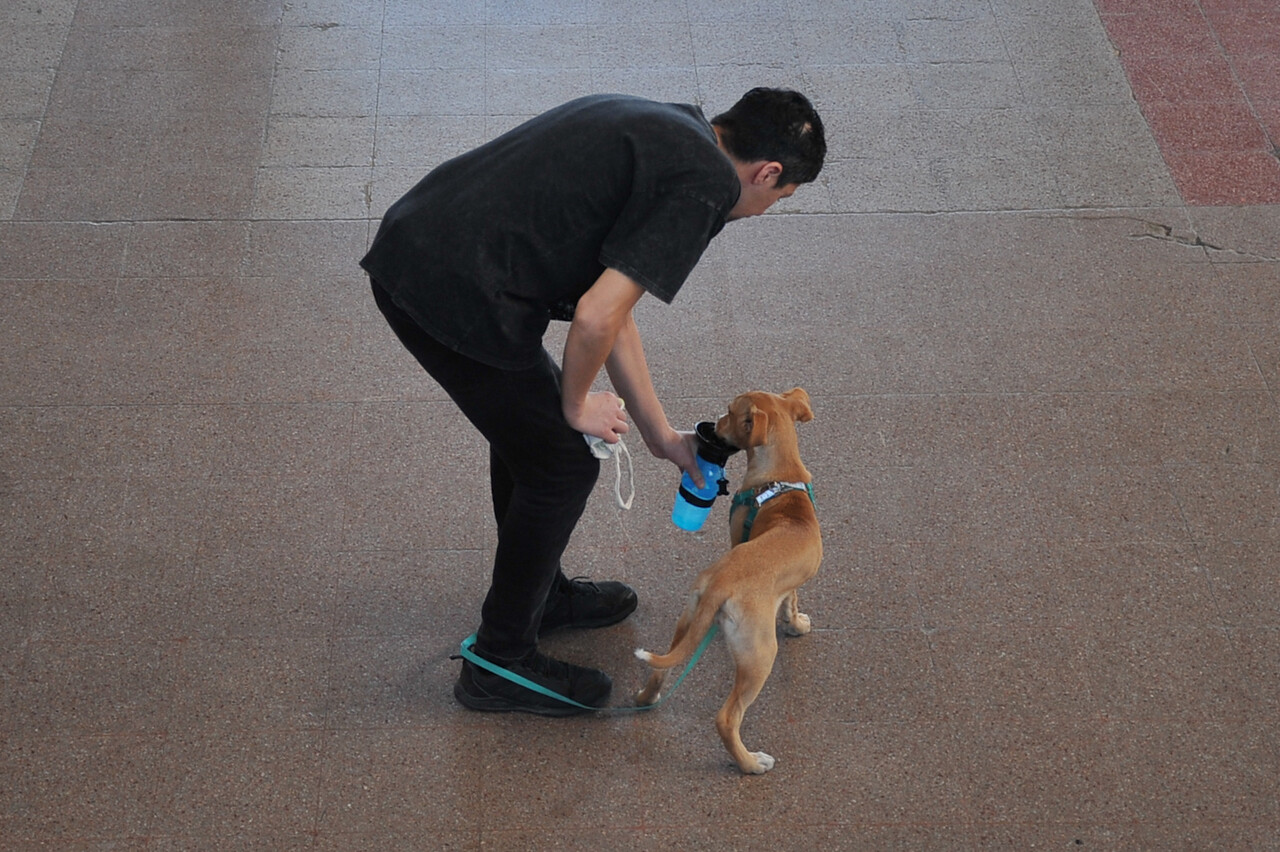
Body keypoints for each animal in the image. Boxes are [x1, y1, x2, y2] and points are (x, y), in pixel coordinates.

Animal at [634, 388, 824, 772]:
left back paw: (645, 698)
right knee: (727, 718)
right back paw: (750, 763)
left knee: (662, 668)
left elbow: (789, 600)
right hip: (760, 656)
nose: (713, 424)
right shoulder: (790, 583)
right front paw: (797, 624)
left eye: (729, 412)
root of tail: (721, 584)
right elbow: (792, 600)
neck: (780, 479)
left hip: (688, 618)